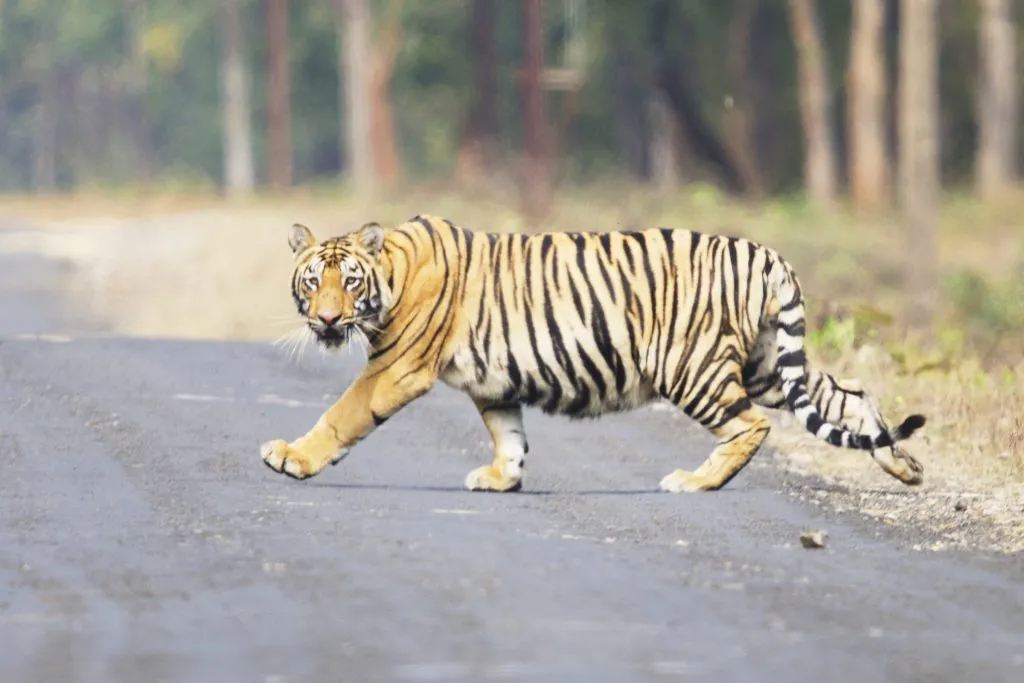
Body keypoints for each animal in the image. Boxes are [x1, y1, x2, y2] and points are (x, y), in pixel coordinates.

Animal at [261, 214, 926, 493]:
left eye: (348, 283)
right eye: (312, 282)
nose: (325, 320)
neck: (393, 271)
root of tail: (765, 253)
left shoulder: (395, 369)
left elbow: (343, 415)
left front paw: (291, 457)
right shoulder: (494, 384)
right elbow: (508, 433)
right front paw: (503, 479)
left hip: (693, 368)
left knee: (749, 426)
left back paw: (694, 482)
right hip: (766, 364)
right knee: (850, 397)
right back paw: (905, 465)